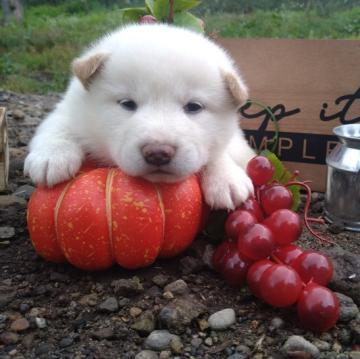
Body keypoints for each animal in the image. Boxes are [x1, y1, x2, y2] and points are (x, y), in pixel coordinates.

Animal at [23, 23, 255, 211]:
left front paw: (226, 178)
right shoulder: (69, 108)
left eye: (193, 107)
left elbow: (220, 152)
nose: (158, 153)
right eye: (127, 104)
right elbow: (59, 125)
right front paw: (52, 157)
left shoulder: (234, 139)